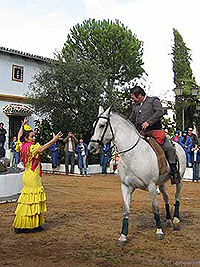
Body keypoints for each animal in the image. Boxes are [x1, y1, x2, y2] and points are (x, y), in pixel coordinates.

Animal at [88, 107, 187, 247]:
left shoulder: (151, 186)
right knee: (166, 197)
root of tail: (177, 145)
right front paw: (123, 236)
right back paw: (168, 219)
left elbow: (155, 207)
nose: (91, 147)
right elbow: (126, 210)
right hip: (161, 182)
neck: (133, 155)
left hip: (179, 180)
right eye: (94, 125)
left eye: (102, 125)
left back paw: (176, 220)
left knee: (177, 196)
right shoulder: (126, 187)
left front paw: (159, 231)